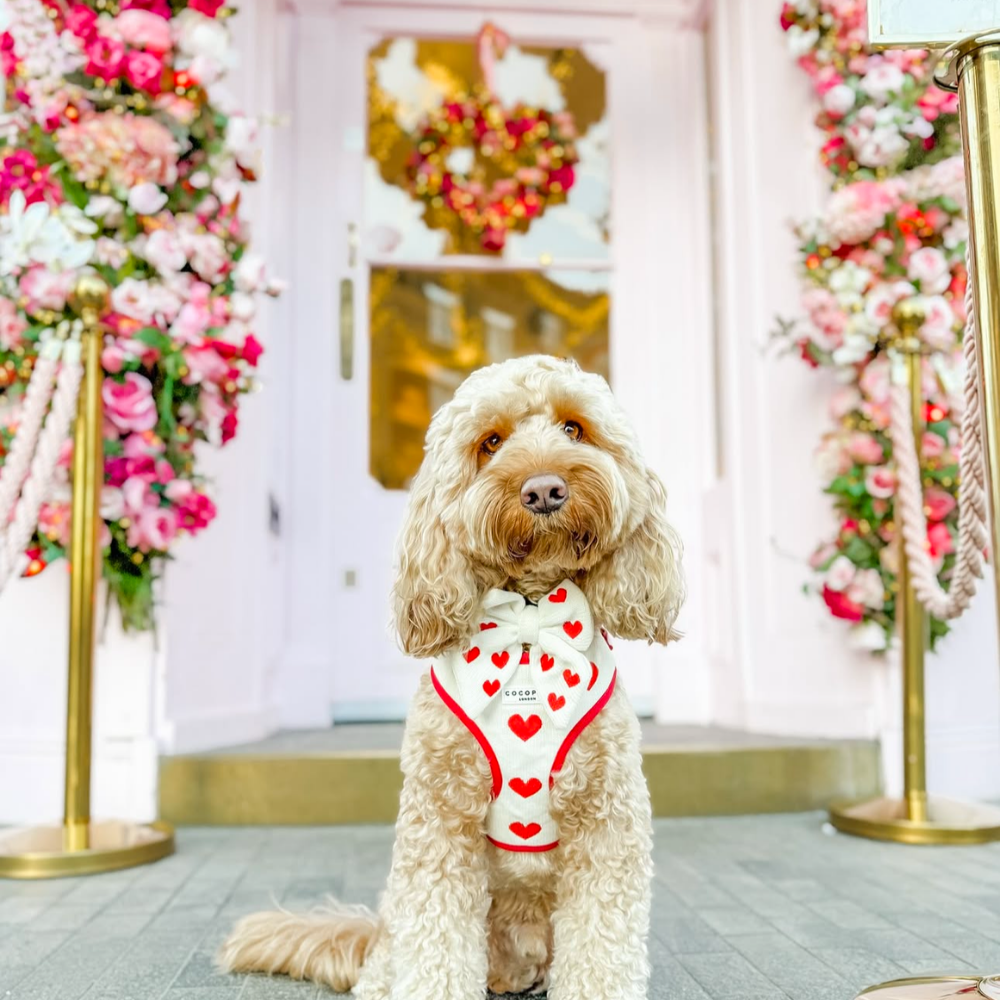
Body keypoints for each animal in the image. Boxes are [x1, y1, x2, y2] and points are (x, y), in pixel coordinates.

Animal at [220, 356, 684, 996]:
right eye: (490, 442)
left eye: (574, 428)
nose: (544, 489)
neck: (528, 620)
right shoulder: (440, 821)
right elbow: (437, 944)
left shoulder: (606, 819)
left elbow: (602, 951)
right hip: (396, 936)